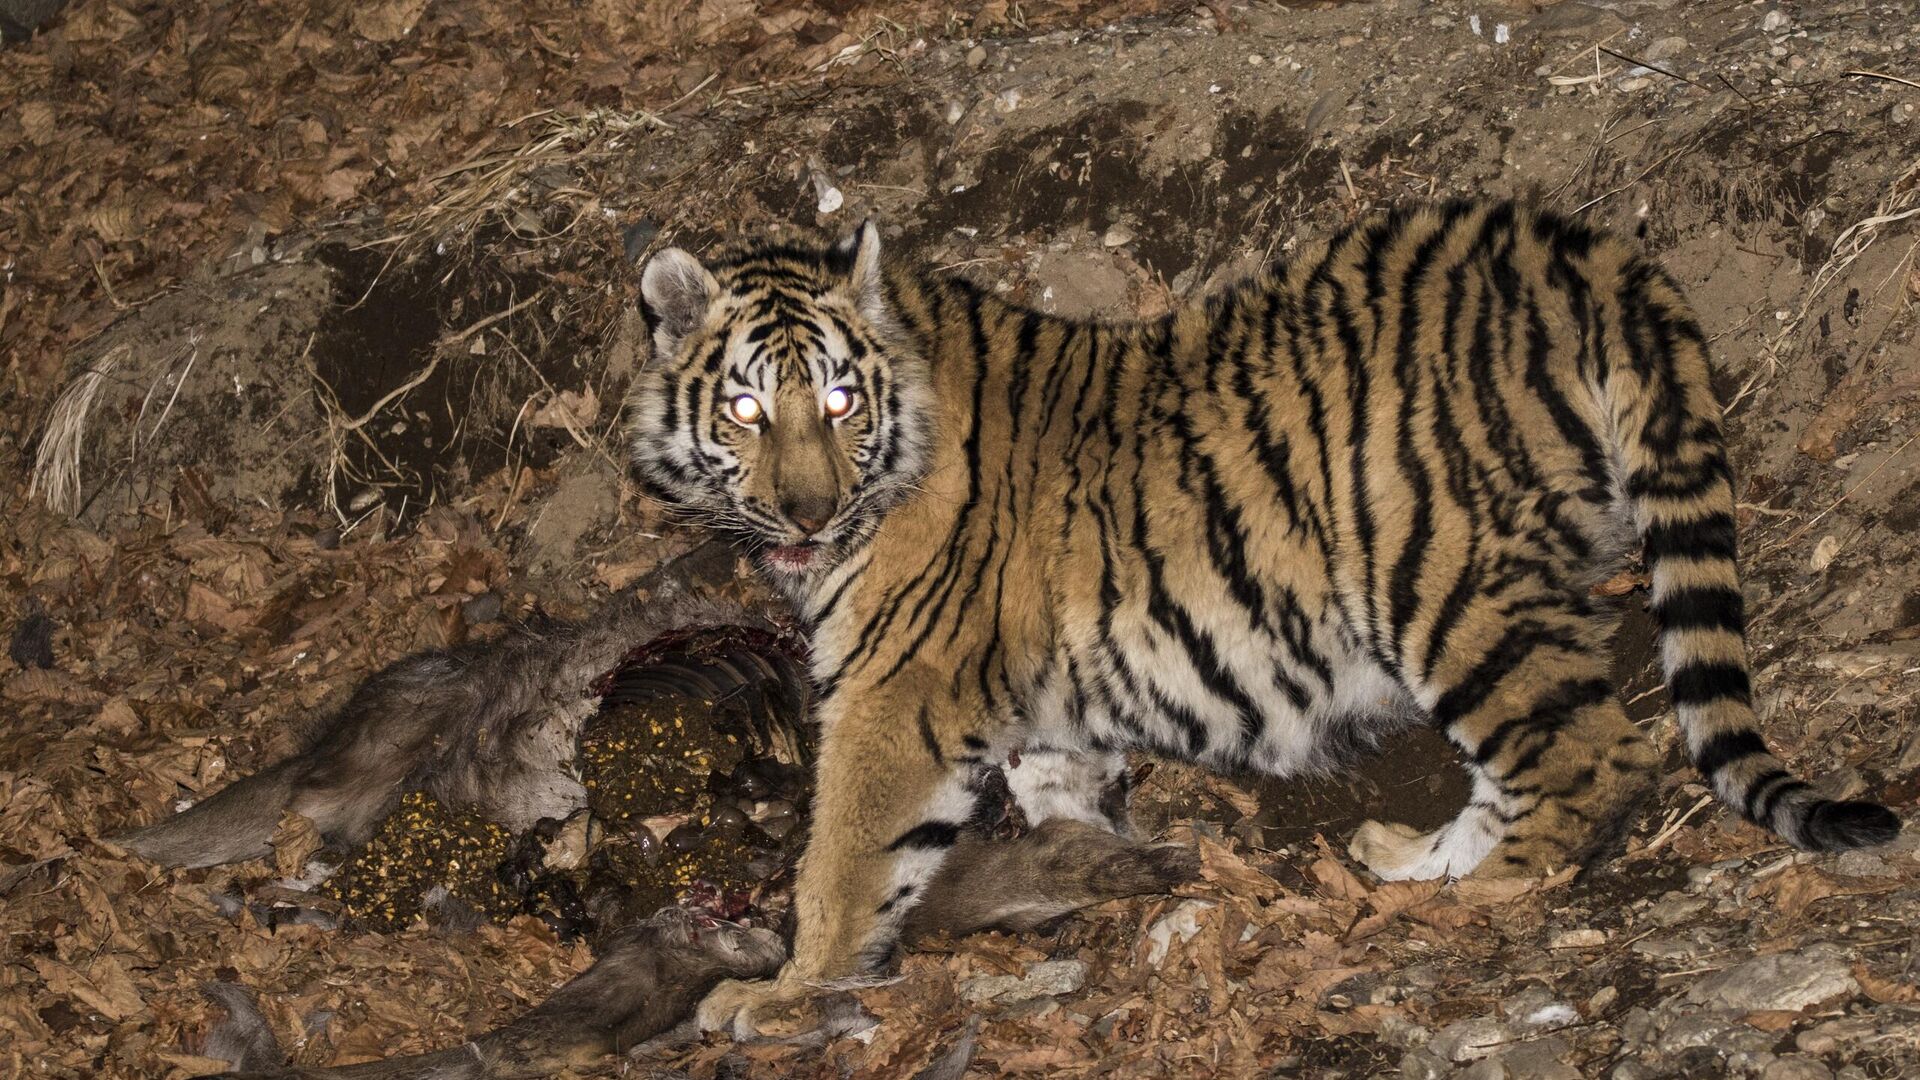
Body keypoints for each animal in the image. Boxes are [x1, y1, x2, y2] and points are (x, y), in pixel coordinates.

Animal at [629, 197, 1904, 1030]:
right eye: (747, 408)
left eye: (841, 400)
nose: (807, 508)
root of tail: (1570, 248)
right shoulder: (1033, 702)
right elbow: (1058, 797)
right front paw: (1096, 875)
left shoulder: (893, 694)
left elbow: (843, 857)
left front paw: (782, 992)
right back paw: (1407, 858)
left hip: (1438, 580)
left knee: (1592, 756)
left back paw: (1462, 893)